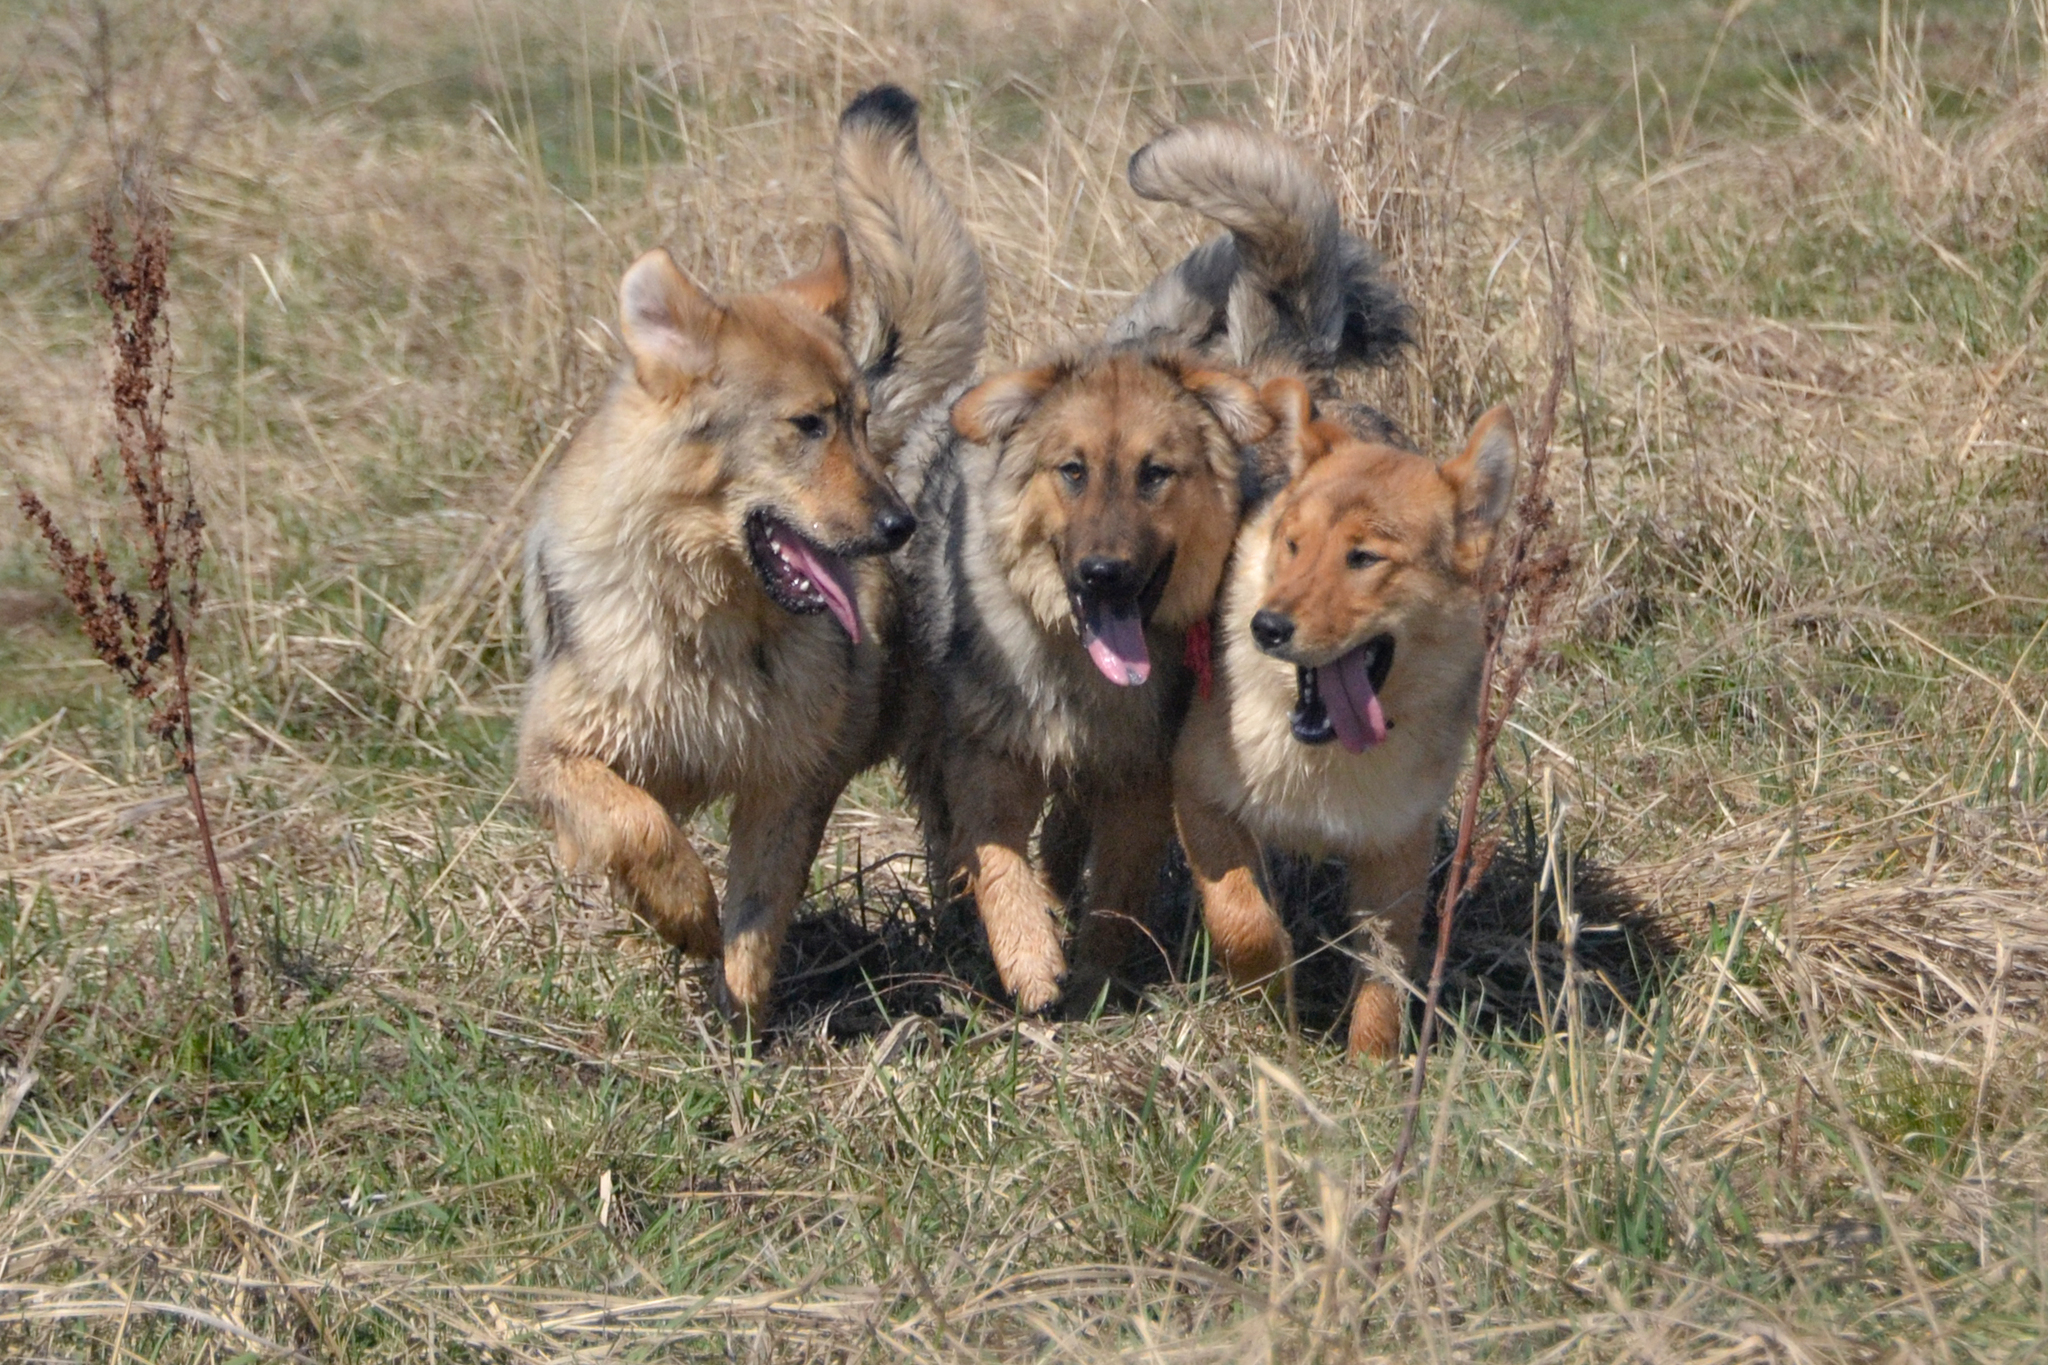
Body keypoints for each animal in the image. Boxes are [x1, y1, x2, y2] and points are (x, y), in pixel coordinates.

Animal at [520, 87, 983, 1035]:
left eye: (855, 423)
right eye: (808, 425)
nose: (898, 525)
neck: (711, 624)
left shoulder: (788, 783)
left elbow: (758, 915)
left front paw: (738, 1025)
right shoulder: (555, 753)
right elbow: (638, 825)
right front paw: (681, 911)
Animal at [1171, 378, 1523, 1064]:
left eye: (1363, 558)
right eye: (1293, 545)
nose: (1267, 626)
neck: (1319, 760)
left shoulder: (1398, 847)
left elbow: (1386, 973)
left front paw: (1372, 1068)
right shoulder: (1197, 796)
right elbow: (1244, 923)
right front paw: (1270, 1003)